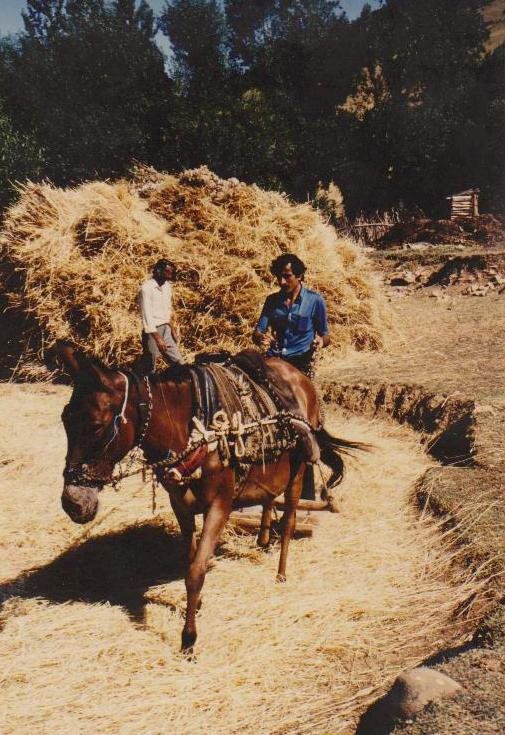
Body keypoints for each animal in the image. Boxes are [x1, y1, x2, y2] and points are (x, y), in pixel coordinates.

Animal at [57, 342, 358, 652]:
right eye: (65, 419)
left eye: (95, 425)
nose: (72, 503)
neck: (195, 431)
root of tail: (298, 376)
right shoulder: (181, 505)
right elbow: (189, 561)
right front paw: (197, 605)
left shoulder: (219, 507)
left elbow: (196, 571)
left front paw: (188, 638)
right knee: (269, 499)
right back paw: (263, 539)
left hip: (297, 474)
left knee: (288, 522)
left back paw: (281, 572)